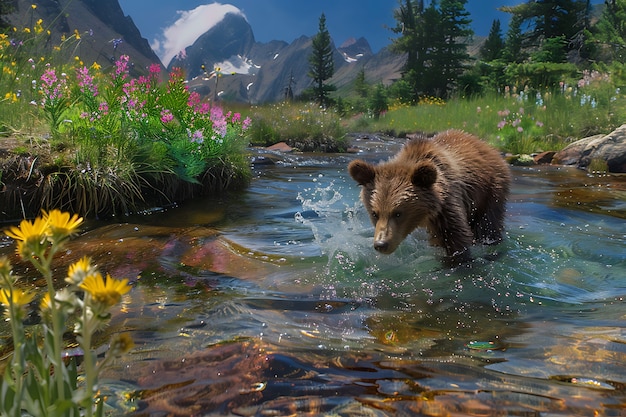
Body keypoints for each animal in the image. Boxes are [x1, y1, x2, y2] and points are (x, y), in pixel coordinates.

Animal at [348, 130, 510, 260]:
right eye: (375, 213)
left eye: (398, 213)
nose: (381, 244)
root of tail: (486, 145)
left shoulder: (446, 207)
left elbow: (456, 239)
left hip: (490, 191)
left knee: (487, 226)